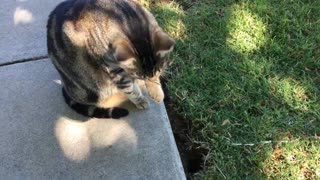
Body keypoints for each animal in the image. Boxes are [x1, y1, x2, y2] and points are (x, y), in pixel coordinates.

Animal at [46, 0, 174, 118]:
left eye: (158, 71)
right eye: (139, 74)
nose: (144, 78)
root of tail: (66, 86)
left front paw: (156, 91)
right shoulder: (114, 70)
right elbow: (131, 90)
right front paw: (140, 100)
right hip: (93, 89)